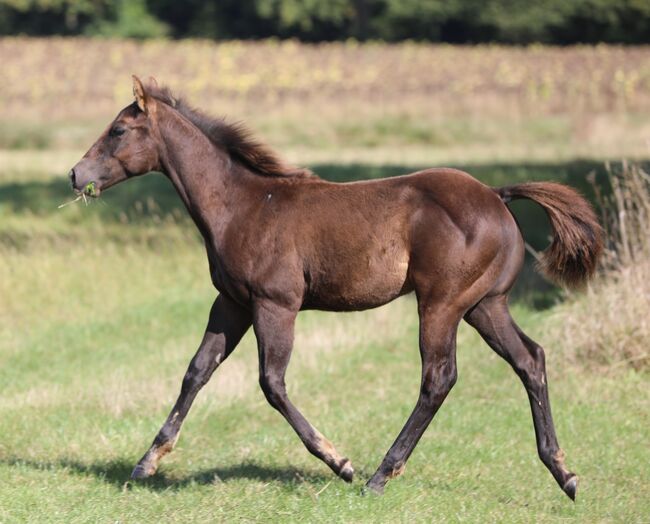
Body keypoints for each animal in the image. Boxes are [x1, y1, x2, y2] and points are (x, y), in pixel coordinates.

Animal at [68, 77, 600, 500]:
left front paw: (338, 462)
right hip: (485, 305)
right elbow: (197, 370)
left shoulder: (276, 304)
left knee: (439, 377)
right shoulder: (232, 302)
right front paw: (147, 462)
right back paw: (564, 473)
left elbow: (271, 383)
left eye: (118, 130)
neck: (242, 205)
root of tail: (497, 196)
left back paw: (379, 476)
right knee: (530, 359)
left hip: (442, 304)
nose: (75, 174)